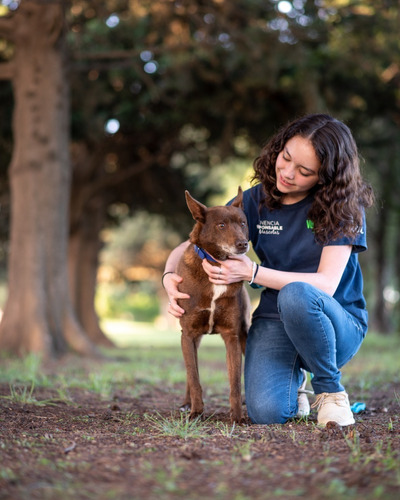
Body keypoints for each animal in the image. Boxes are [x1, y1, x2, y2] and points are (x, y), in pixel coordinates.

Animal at [176, 187, 248, 422]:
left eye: (242, 223)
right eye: (221, 225)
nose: (243, 244)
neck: (217, 263)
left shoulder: (232, 336)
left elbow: (235, 382)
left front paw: (237, 417)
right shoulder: (188, 334)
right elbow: (194, 377)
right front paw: (196, 412)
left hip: (244, 334)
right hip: (192, 340)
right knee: (191, 373)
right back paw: (187, 404)